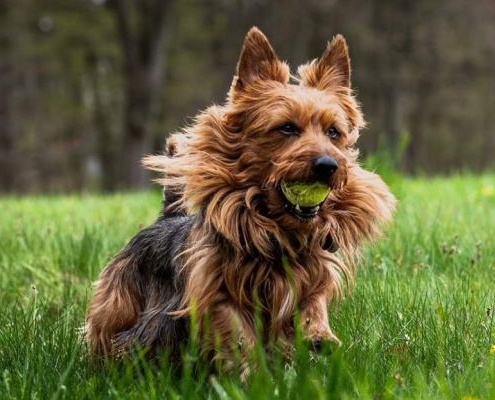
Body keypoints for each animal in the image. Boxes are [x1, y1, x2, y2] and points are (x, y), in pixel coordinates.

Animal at [85, 26, 396, 376]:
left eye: (333, 132)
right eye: (286, 128)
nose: (328, 165)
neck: (279, 230)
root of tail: (167, 218)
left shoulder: (311, 276)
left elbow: (313, 303)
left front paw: (318, 334)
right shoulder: (217, 292)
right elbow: (238, 336)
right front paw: (251, 376)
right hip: (121, 302)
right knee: (109, 329)